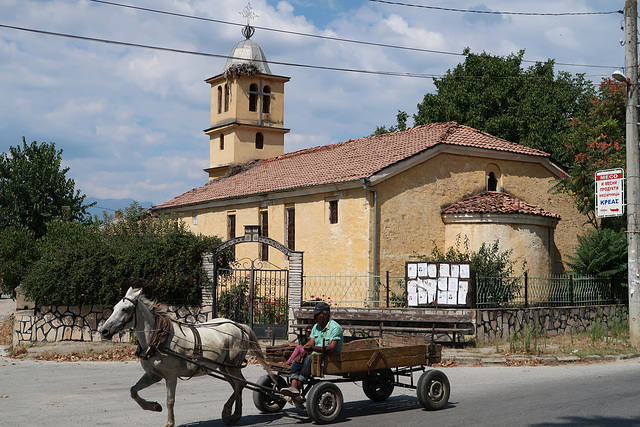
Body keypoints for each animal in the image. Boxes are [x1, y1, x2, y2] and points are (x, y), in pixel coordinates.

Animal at [99, 288, 272, 427]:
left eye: (125, 309)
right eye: (114, 308)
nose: (103, 331)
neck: (158, 339)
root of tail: (239, 325)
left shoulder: (170, 375)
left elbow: (170, 400)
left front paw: (169, 422)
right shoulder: (153, 375)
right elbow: (133, 391)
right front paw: (154, 406)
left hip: (231, 365)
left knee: (239, 385)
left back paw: (227, 411)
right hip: (224, 368)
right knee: (238, 385)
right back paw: (235, 415)